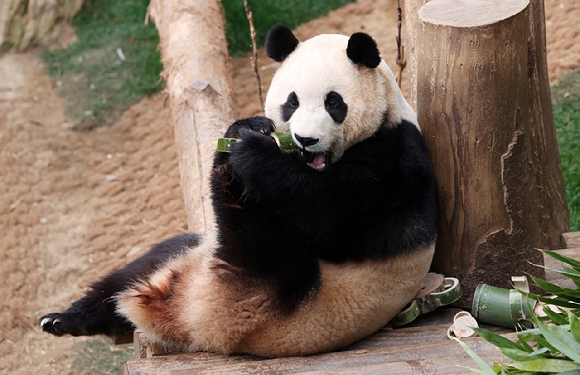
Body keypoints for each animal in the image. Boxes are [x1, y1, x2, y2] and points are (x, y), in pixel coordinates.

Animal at [40, 24, 438, 358]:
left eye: (333, 102)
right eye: (291, 101)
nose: (305, 140)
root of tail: (183, 313)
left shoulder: (393, 159)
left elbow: (327, 211)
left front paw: (252, 151)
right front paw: (247, 127)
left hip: (274, 301)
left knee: (258, 243)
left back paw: (229, 179)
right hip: (191, 251)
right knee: (139, 268)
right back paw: (64, 319)